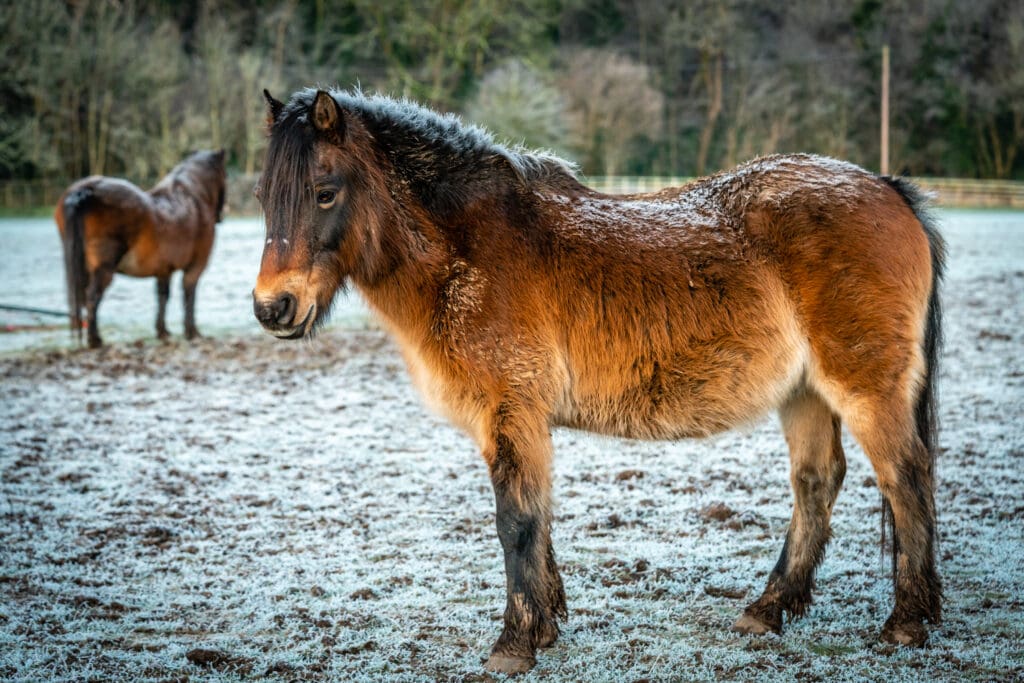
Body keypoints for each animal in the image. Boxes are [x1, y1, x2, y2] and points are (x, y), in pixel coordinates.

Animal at [253, 89, 942, 671]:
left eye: (323, 191)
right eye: (262, 197)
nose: (273, 307)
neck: (466, 250)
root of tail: (886, 188)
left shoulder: (511, 411)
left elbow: (515, 522)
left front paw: (513, 645)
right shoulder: (522, 421)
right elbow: (538, 516)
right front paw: (546, 627)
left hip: (864, 388)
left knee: (905, 477)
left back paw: (905, 624)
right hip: (804, 393)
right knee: (816, 484)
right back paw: (767, 610)